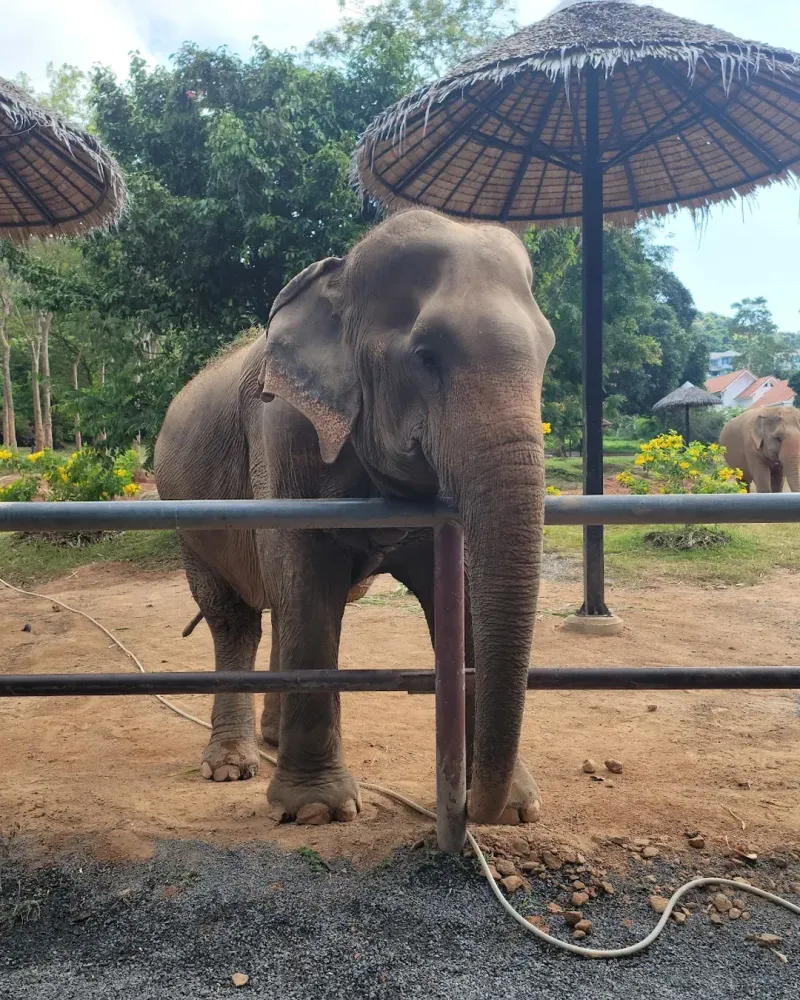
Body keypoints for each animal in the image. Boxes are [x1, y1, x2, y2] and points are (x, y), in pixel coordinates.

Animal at [154, 208, 554, 827]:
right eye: (425, 356)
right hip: (188, 522)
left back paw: (271, 742)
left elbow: (460, 586)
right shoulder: (284, 430)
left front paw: (516, 809)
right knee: (235, 617)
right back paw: (230, 765)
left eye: (548, 352)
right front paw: (318, 811)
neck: (341, 277)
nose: (473, 806)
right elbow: (306, 575)